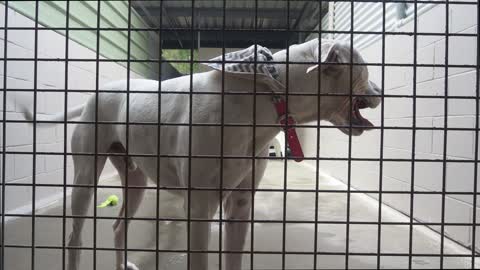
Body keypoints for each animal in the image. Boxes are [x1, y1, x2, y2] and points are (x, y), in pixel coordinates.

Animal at [22, 38, 382, 270]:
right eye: (365, 69)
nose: (383, 91)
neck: (266, 91)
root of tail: (95, 94)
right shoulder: (198, 208)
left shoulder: (239, 208)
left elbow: (233, 259)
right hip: (84, 181)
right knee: (74, 237)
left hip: (136, 181)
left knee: (118, 227)